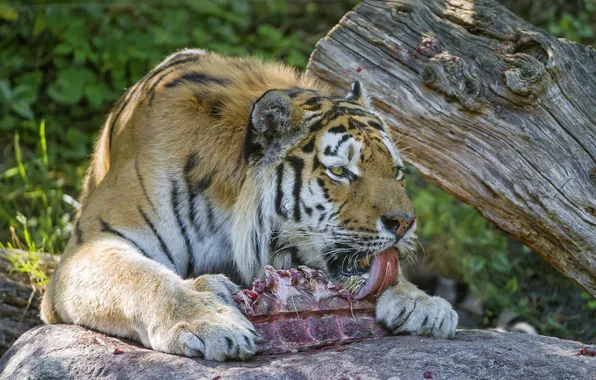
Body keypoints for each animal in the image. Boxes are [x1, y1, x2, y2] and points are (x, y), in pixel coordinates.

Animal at [40, 49, 456, 360]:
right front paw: (211, 324)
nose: (404, 223)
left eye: (396, 172)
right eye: (339, 171)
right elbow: (147, 278)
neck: (225, 210)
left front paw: (422, 303)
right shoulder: (91, 246)